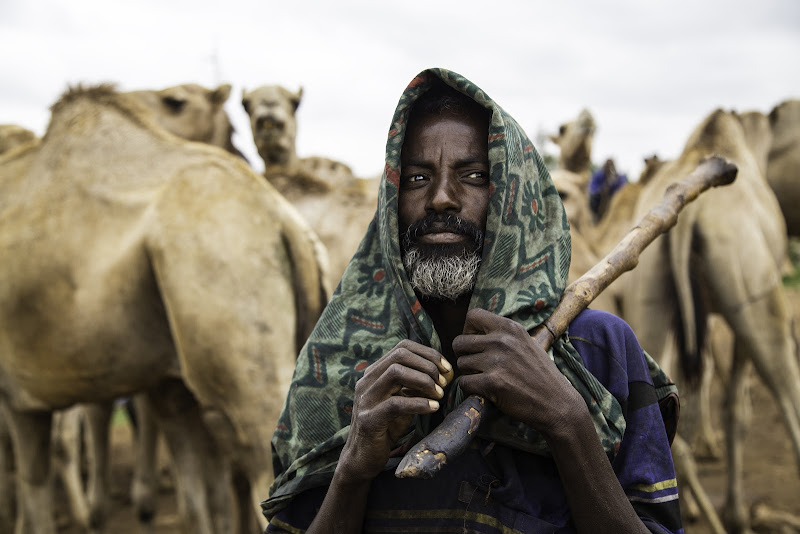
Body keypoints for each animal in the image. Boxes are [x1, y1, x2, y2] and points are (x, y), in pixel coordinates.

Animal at [624, 109, 800, 534]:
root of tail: (691, 212)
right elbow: (735, 407)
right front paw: (736, 514)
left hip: (648, 291)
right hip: (752, 284)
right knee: (786, 389)